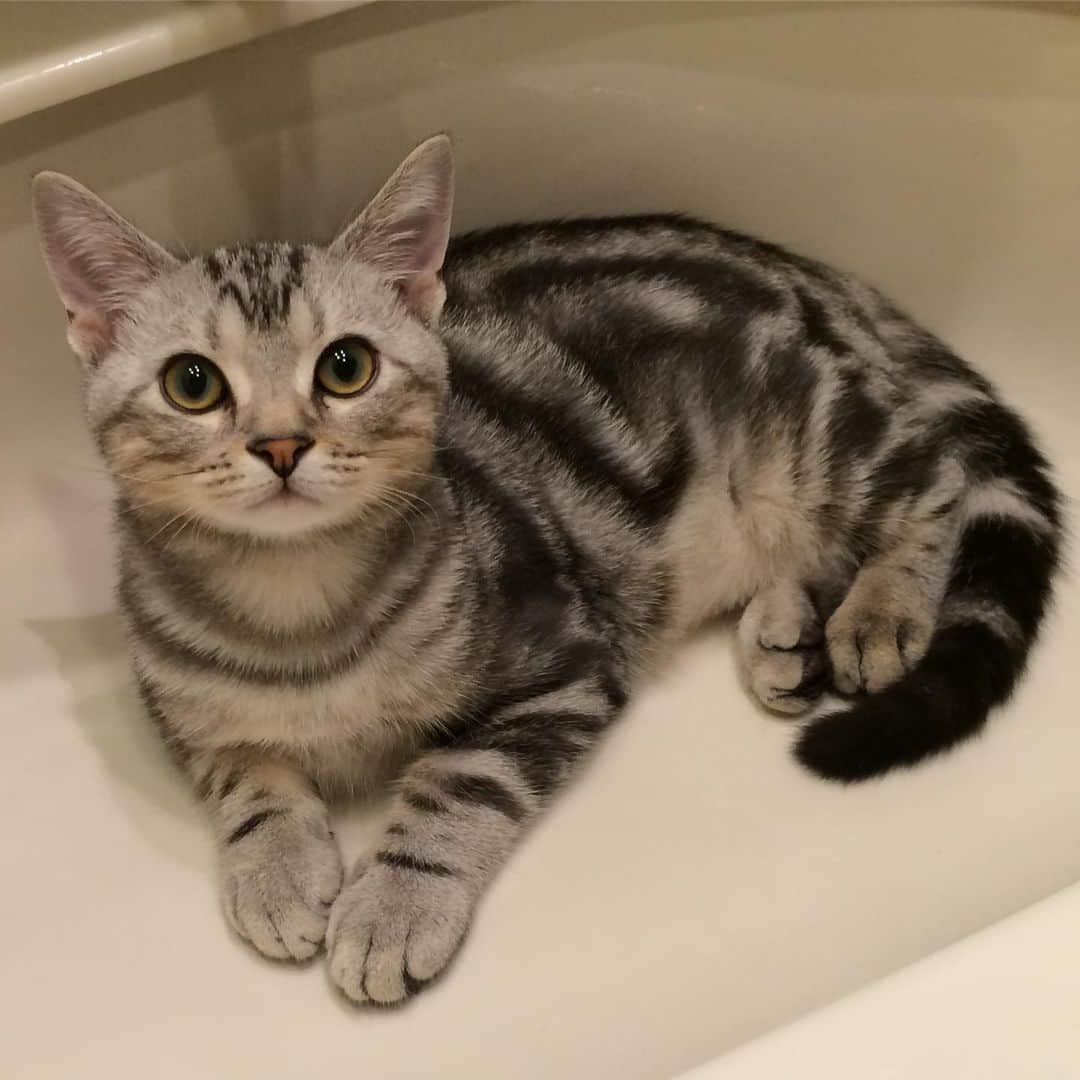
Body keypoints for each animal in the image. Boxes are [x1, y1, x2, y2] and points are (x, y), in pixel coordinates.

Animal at [35, 135, 1062, 1002]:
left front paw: (394, 903)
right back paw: (788, 632)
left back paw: (879, 612)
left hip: (812, 448)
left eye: (345, 367)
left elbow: (459, 781)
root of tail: (814, 275)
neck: (298, 615)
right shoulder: (177, 705)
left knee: (938, 480)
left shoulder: (563, 657)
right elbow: (245, 774)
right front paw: (275, 867)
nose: (282, 445)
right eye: (192, 384)